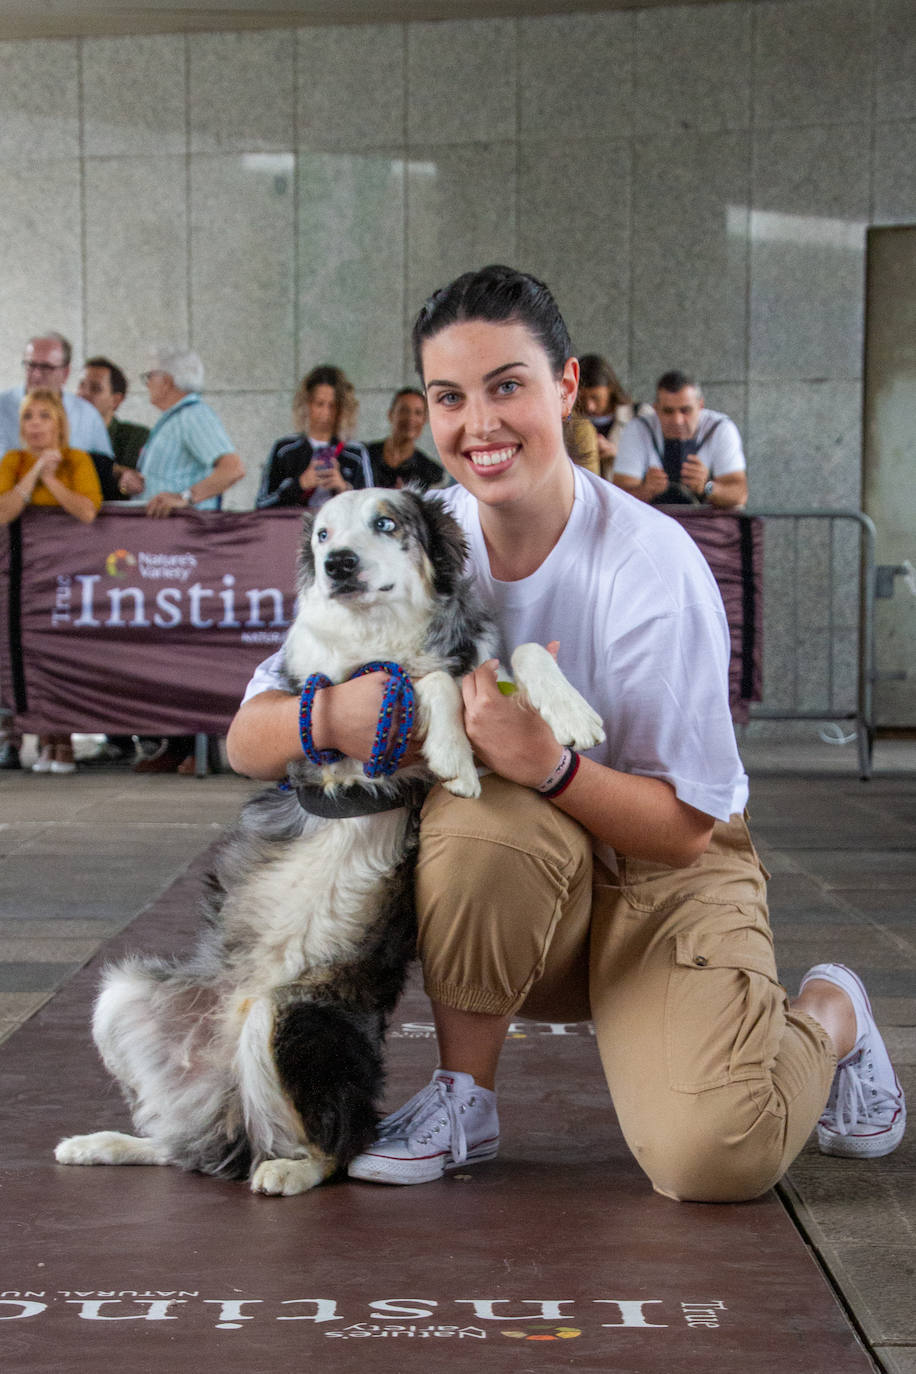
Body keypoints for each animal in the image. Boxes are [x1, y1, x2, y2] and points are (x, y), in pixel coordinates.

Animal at [53, 491, 604, 1192]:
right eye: (321, 534)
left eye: (386, 523)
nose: (337, 563)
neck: (379, 633)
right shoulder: (336, 719)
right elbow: (424, 681)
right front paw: (453, 750)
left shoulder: (494, 718)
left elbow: (517, 655)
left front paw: (571, 714)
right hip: (124, 996)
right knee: (212, 1149)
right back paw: (103, 1144)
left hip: (285, 1017)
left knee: (326, 1148)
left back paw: (281, 1171)